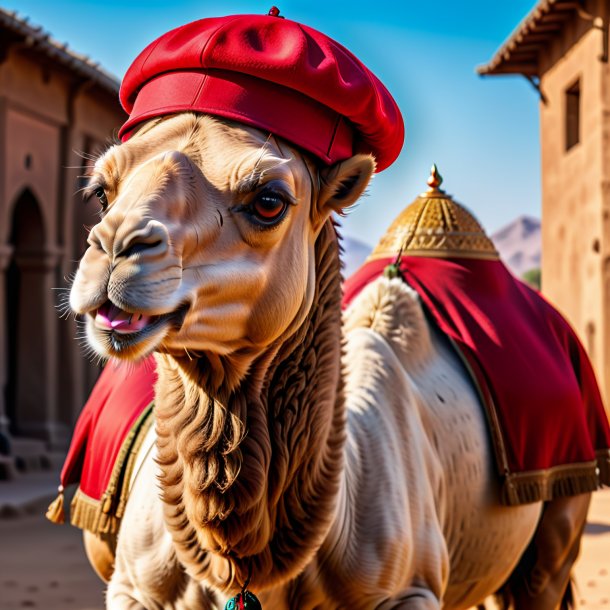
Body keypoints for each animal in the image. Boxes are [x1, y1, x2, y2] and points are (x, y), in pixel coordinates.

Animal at [67, 110, 592, 608]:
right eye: (101, 192)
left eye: (270, 200)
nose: (114, 247)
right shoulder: (133, 590)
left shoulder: (411, 591)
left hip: (559, 528)